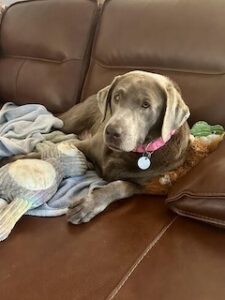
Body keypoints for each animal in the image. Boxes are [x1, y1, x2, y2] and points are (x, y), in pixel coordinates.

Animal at [59, 70, 191, 223]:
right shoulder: (81, 144)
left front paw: (87, 206)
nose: (112, 132)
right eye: (116, 97)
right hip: (70, 122)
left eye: (146, 105)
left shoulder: (142, 185)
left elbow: (120, 186)